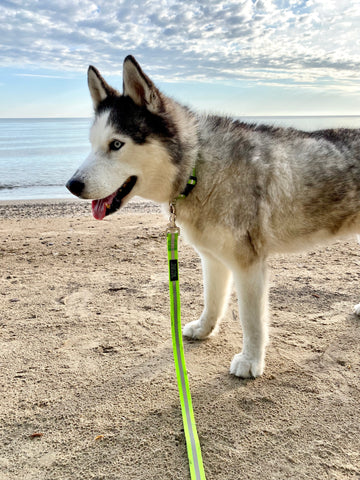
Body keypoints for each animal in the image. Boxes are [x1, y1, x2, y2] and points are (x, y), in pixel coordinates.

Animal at [67, 56, 360, 378]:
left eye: (116, 144)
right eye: (93, 144)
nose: (72, 185)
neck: (198, 167)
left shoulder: (248, 265)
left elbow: (251, 319)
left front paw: (251, 361)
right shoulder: (212, 258)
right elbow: (213, 300)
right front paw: (205, 329)